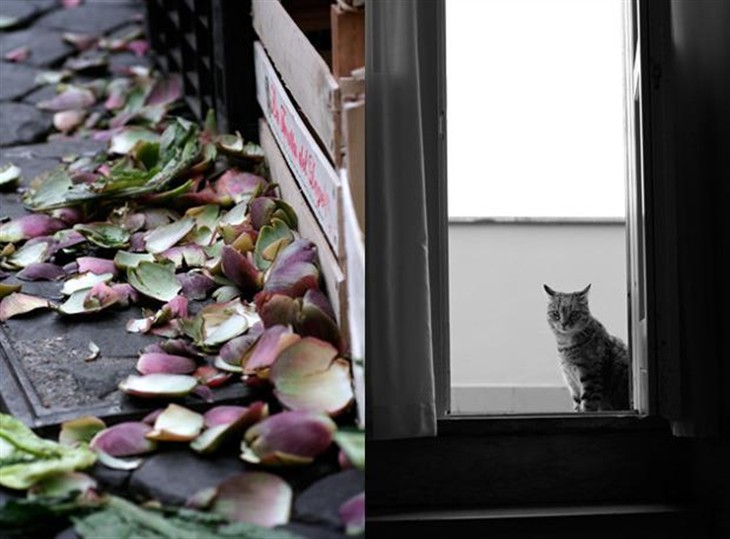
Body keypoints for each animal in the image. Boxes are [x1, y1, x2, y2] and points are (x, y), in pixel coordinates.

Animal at [544, 284, 628, 412]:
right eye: (556, 313)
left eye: (574, 313)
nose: (563, 324)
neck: (566, 345)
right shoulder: (571, 380)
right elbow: (577, 403)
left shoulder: (590, 377)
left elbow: (588, 404)